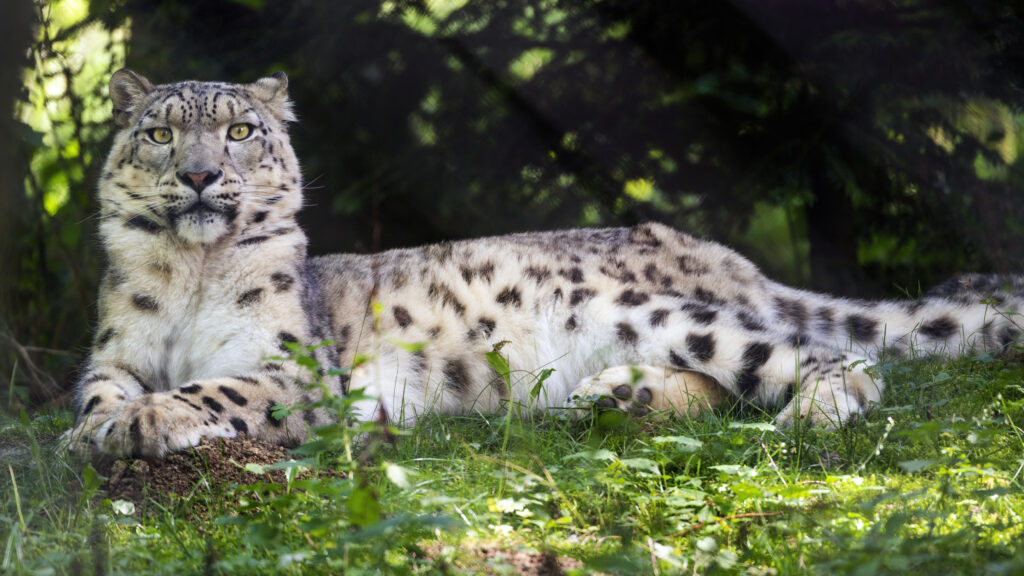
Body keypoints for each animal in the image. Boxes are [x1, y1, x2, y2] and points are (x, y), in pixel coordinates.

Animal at [66, 70, 1024, 458]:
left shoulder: (289, 369)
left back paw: (808, 418)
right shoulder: (113, 350)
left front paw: (146, 422)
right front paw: (99, 426)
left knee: (832, 359)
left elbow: (212, 389)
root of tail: (719, 253)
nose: (199, 175)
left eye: (239, 130)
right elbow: (101, 389)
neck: (191, 282)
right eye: (160, 133)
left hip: (656, 312)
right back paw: (615, 397)